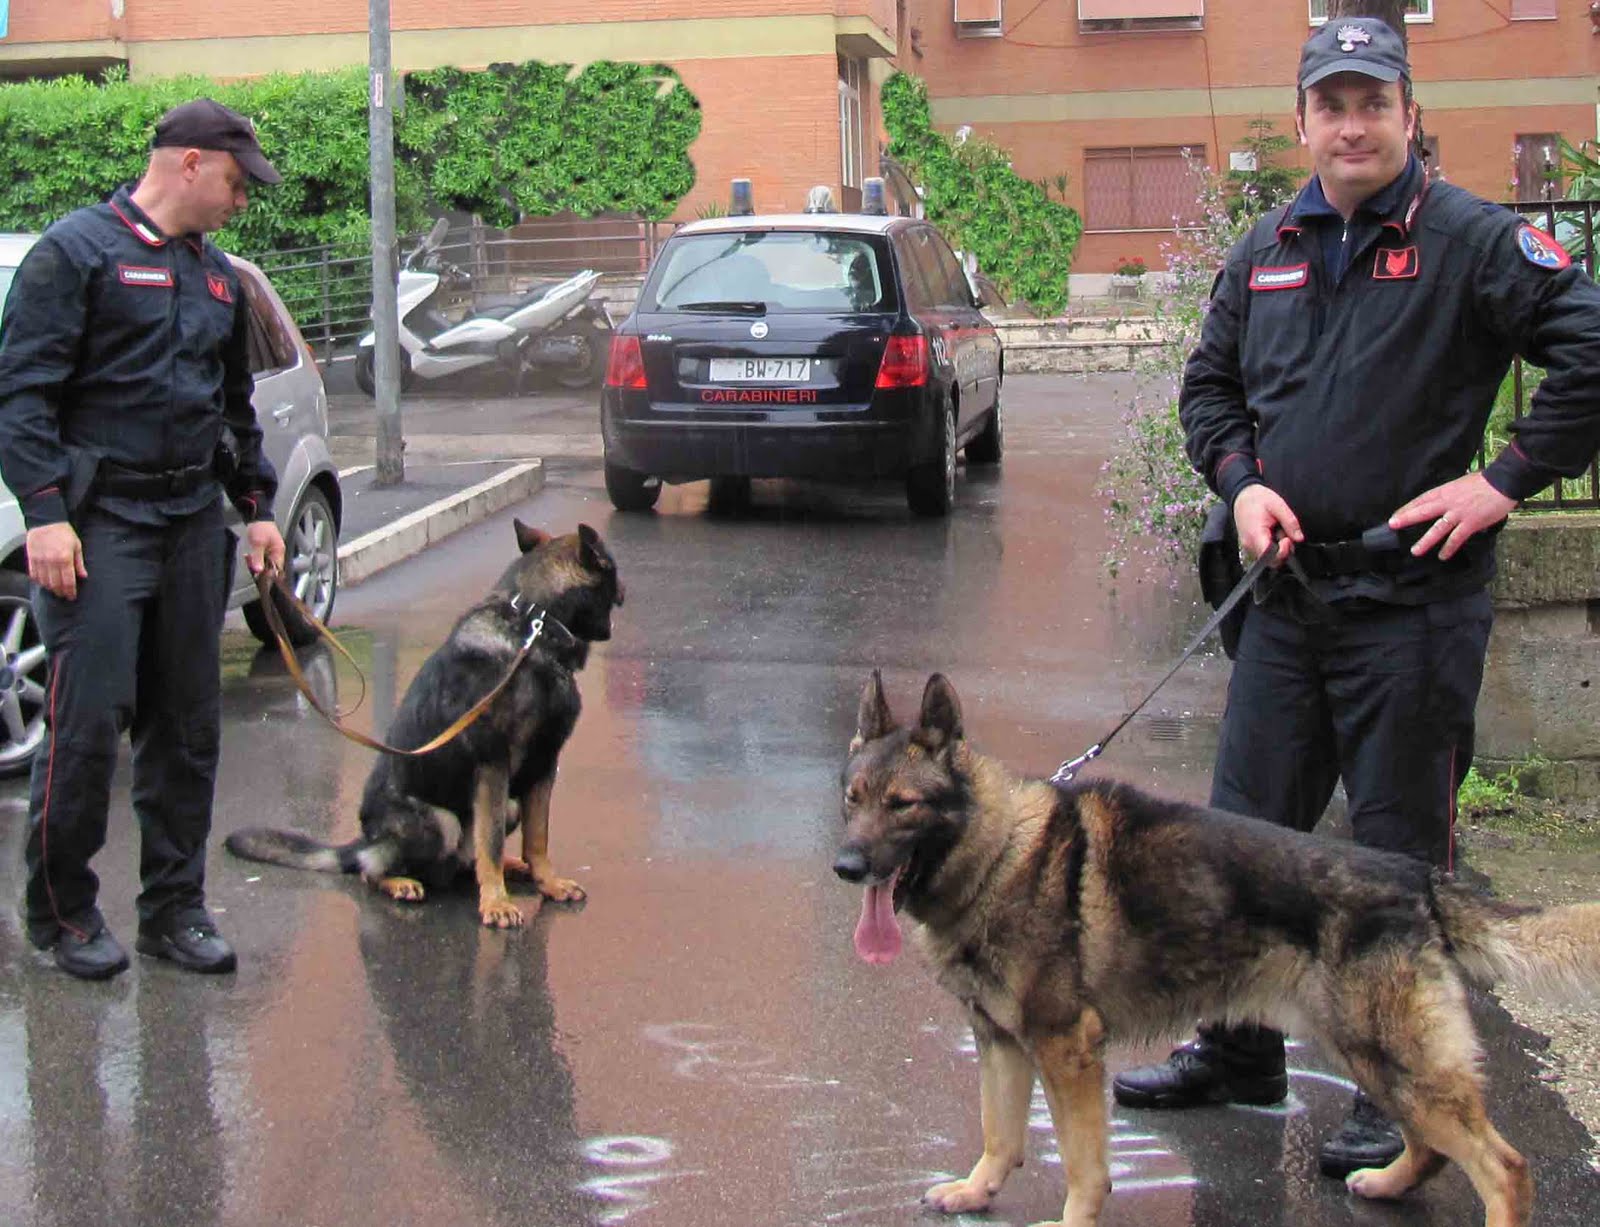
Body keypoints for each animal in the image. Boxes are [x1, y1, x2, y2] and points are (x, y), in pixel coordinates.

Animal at [227, 518, 624, 934]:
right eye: (611, 566)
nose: (625, 589)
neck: (535, 626)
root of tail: (364, 841)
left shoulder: (543, 765)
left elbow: (537, 838)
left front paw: (547, 881)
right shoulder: (493, 766)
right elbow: (491, 843)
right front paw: (496, 903)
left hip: (509, 804)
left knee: (469, 859)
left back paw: (512, 869)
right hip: (442, 822)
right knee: (374, 871)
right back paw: (401, 882)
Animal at [838, 671, 1600, 1227]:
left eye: (903, 804)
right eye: (853, 798)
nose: (846, 865)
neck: (996, 850)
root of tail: (1416, 877)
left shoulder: (1066, 1049)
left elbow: (1084, 1163)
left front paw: (1071, 1219)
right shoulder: (999, 1042)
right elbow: (999, 1133)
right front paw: (976, 1191)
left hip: (1390, 1054)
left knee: (1504, 1168)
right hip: (1368, 1053)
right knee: (1432, 1147)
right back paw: (1387, 1183)